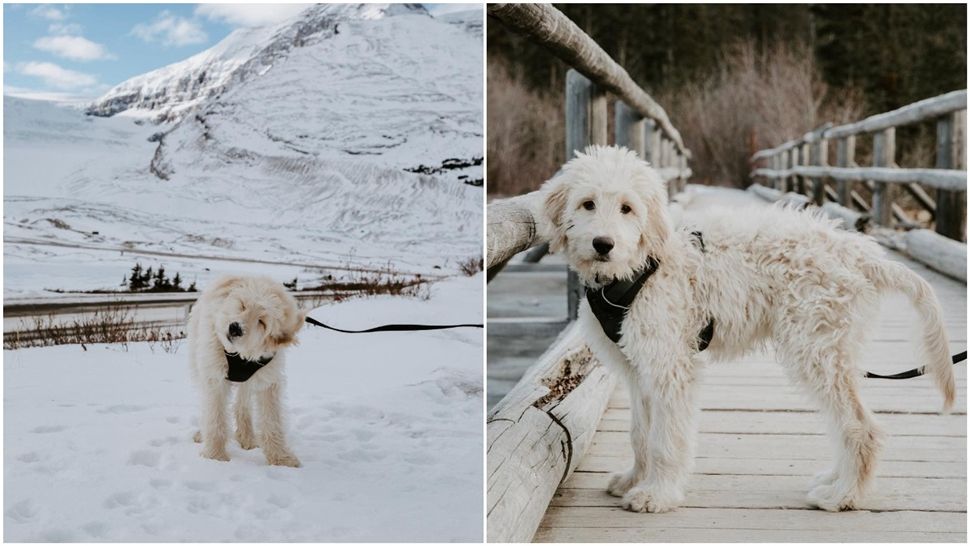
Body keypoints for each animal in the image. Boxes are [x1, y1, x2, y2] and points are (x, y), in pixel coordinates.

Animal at [188, 274, 306, 466]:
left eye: (262, 321)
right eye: (243, 305)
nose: (235, 328)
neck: (241, 355)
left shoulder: (268, 381)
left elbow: (271, 420)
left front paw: (280, 458)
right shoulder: (215, 377)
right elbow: (215, 417)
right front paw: (215, 457)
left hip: (249, 381)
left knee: (241, 406)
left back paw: (247, 438)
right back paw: (203, 434)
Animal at [536, 144, 952, 510]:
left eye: (627, 208)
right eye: (587, 203)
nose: (603, 244)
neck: (638, 268)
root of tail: (860, 253)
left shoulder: (670, 367)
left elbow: (664, 439)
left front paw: (657, 495)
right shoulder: (638, 369)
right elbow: (640, 434)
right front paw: (633, 479)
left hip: (816, 348)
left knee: (861, 428)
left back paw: (843, 496)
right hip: (829, 351)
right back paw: (835, 481)